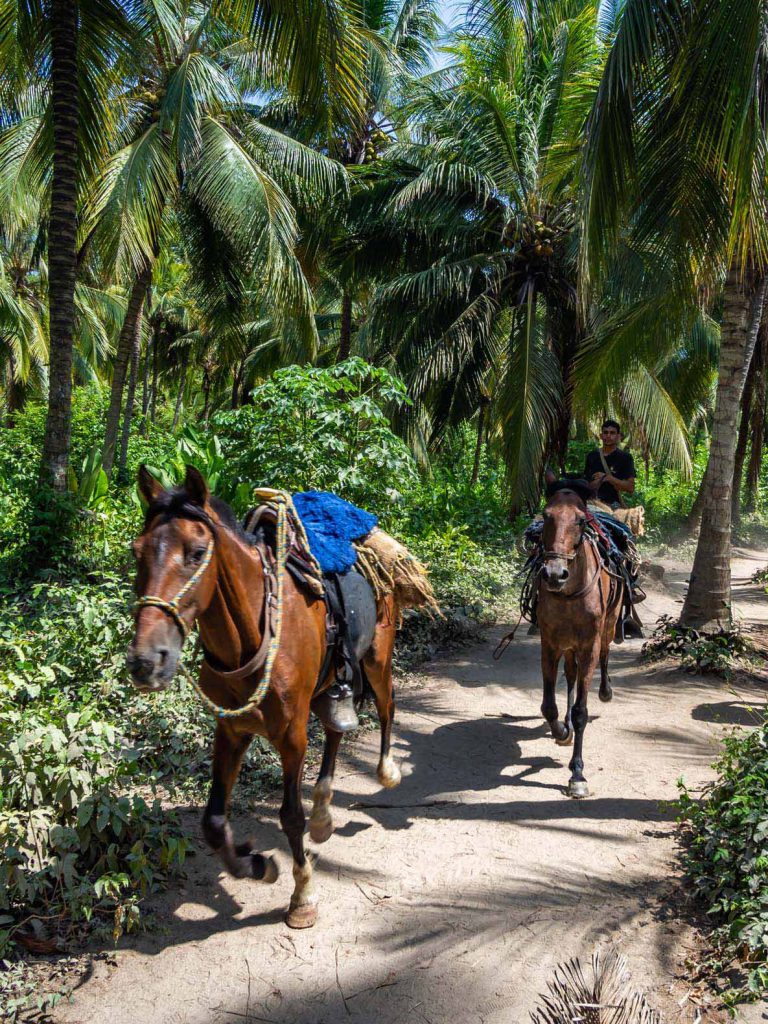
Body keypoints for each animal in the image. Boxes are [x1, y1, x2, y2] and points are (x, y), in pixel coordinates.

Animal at [128, 468, 409, 933]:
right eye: (137, 553)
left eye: (197, 552)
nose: (147, 661)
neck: (252, 635)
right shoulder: (231, 730)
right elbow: (213, 821)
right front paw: (257, 865)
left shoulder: (291, 735)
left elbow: (289, 816)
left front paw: (302, 896)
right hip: (330, 683)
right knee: (335, 729)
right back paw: (324, 815)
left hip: (376, 658)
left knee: (387, 707)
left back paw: (386, 771)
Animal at [536, 485, 626, 798]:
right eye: (546, 515)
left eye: (580, 520)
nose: (553, 574)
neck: (568, 595)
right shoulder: (550, 644)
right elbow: (549, 706)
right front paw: (562, 732)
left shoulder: (588, 646)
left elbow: (581, 712)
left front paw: (577, 774)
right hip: (567, 646)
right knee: (571, 676)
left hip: (608, 627)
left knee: (605, 654)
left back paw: (606, 690)